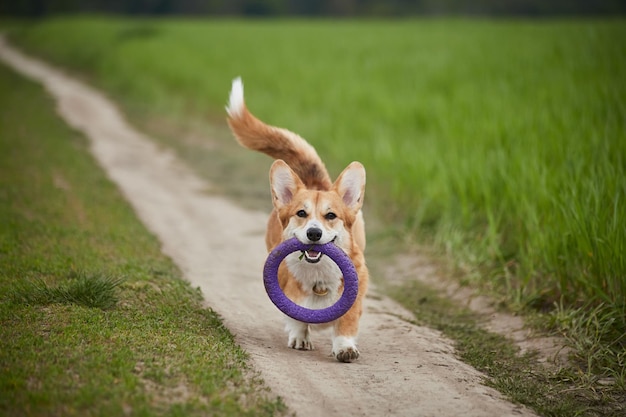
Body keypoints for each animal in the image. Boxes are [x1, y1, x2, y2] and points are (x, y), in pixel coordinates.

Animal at [224, 77, 366, 360]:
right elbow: (297, 318)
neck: (318, 275)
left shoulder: (356, 292)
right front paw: (300, 337)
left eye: (331, 216)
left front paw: (345, 348)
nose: (314, 233)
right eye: (301, 213)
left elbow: (346, 322)